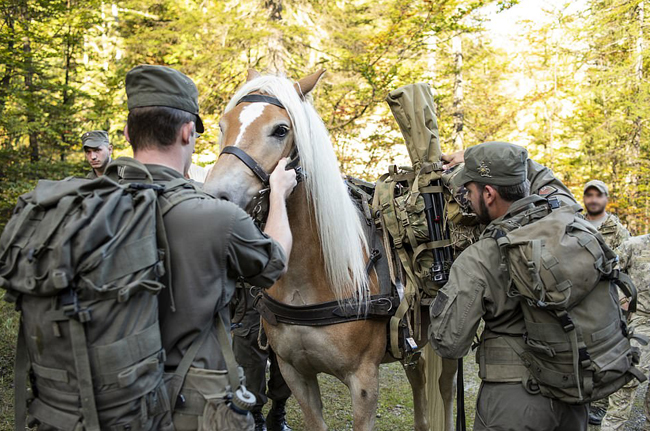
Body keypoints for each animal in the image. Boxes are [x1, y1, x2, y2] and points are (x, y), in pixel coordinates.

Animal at [202, 69, 456, 430]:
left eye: (281, 130)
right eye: (223, 125)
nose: (218, 195)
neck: (310, 275)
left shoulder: (364, 381)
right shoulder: (295, 374)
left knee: (445, 388)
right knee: (418, 373)